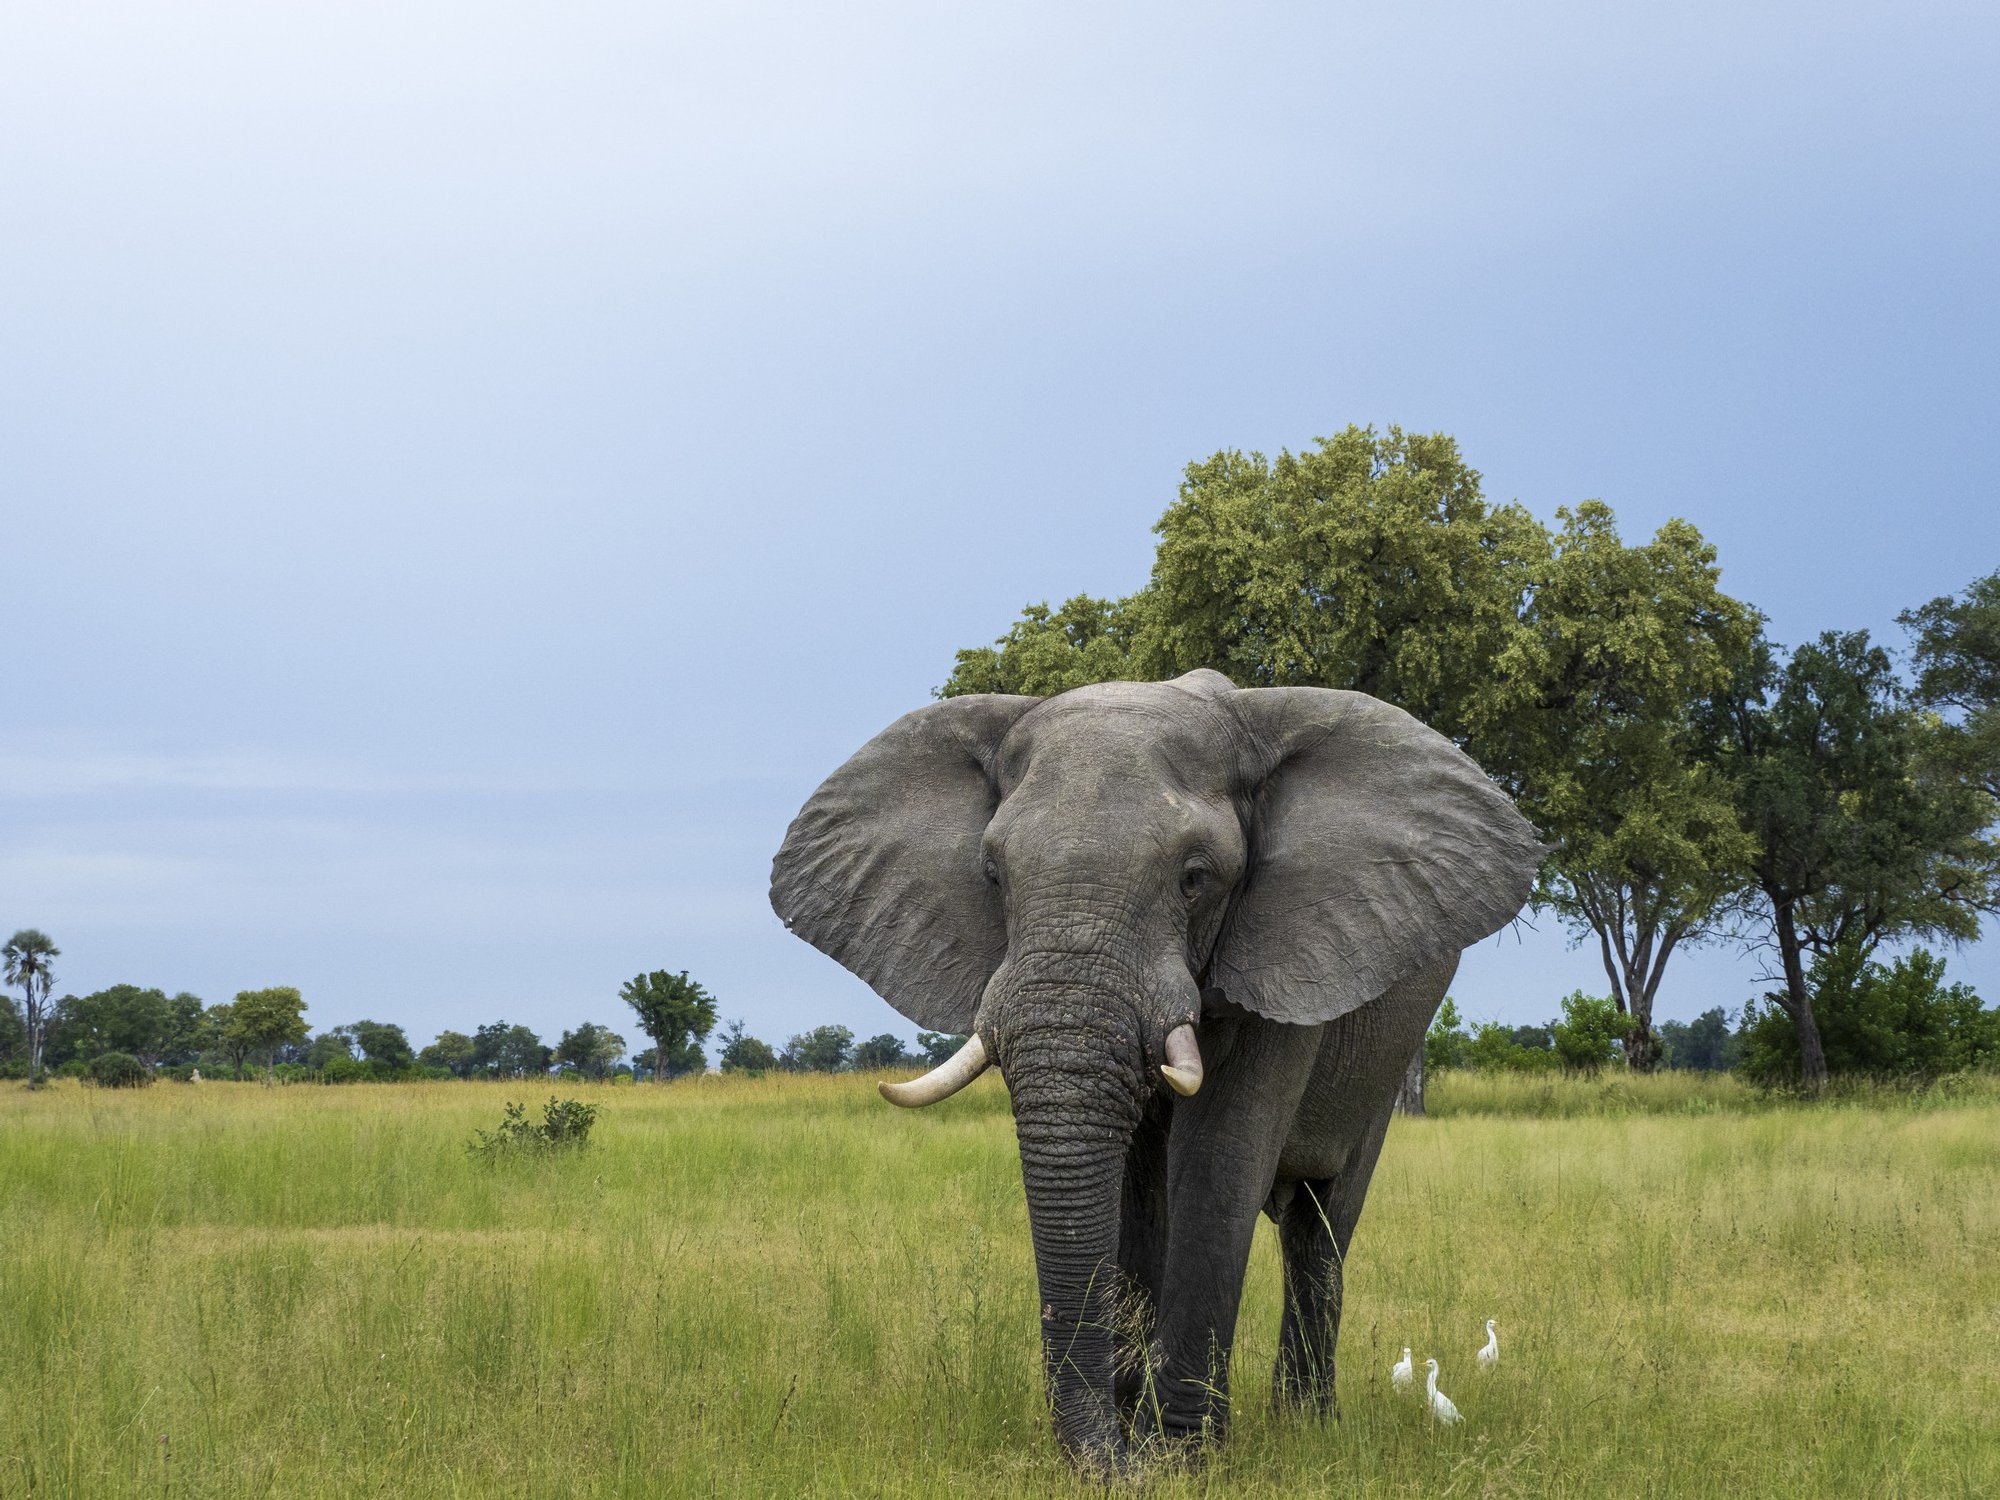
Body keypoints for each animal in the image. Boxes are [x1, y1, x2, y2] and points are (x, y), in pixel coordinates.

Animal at [770, 669, 1542, 1473]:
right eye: (992, 875)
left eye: (1195, 878)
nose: (1106, 1462)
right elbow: (1136, 1196)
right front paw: (1135, 1444)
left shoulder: (1282, 951)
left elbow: (1216, 1163)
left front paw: (1182, 1458)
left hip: (1388, 1054)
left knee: (1322, 1220)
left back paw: (1306, 1423)